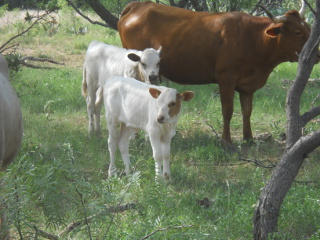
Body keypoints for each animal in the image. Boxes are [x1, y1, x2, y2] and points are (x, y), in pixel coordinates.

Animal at [119, 0, 318, 142]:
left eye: (309, 28)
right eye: (297, 32)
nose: (317, 54)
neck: (253, 39)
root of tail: (138, 5)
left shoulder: (247, 85)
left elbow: (247, 111)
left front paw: (249, 139)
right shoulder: (226, 79)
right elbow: (228, 110)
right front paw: (227, 141)